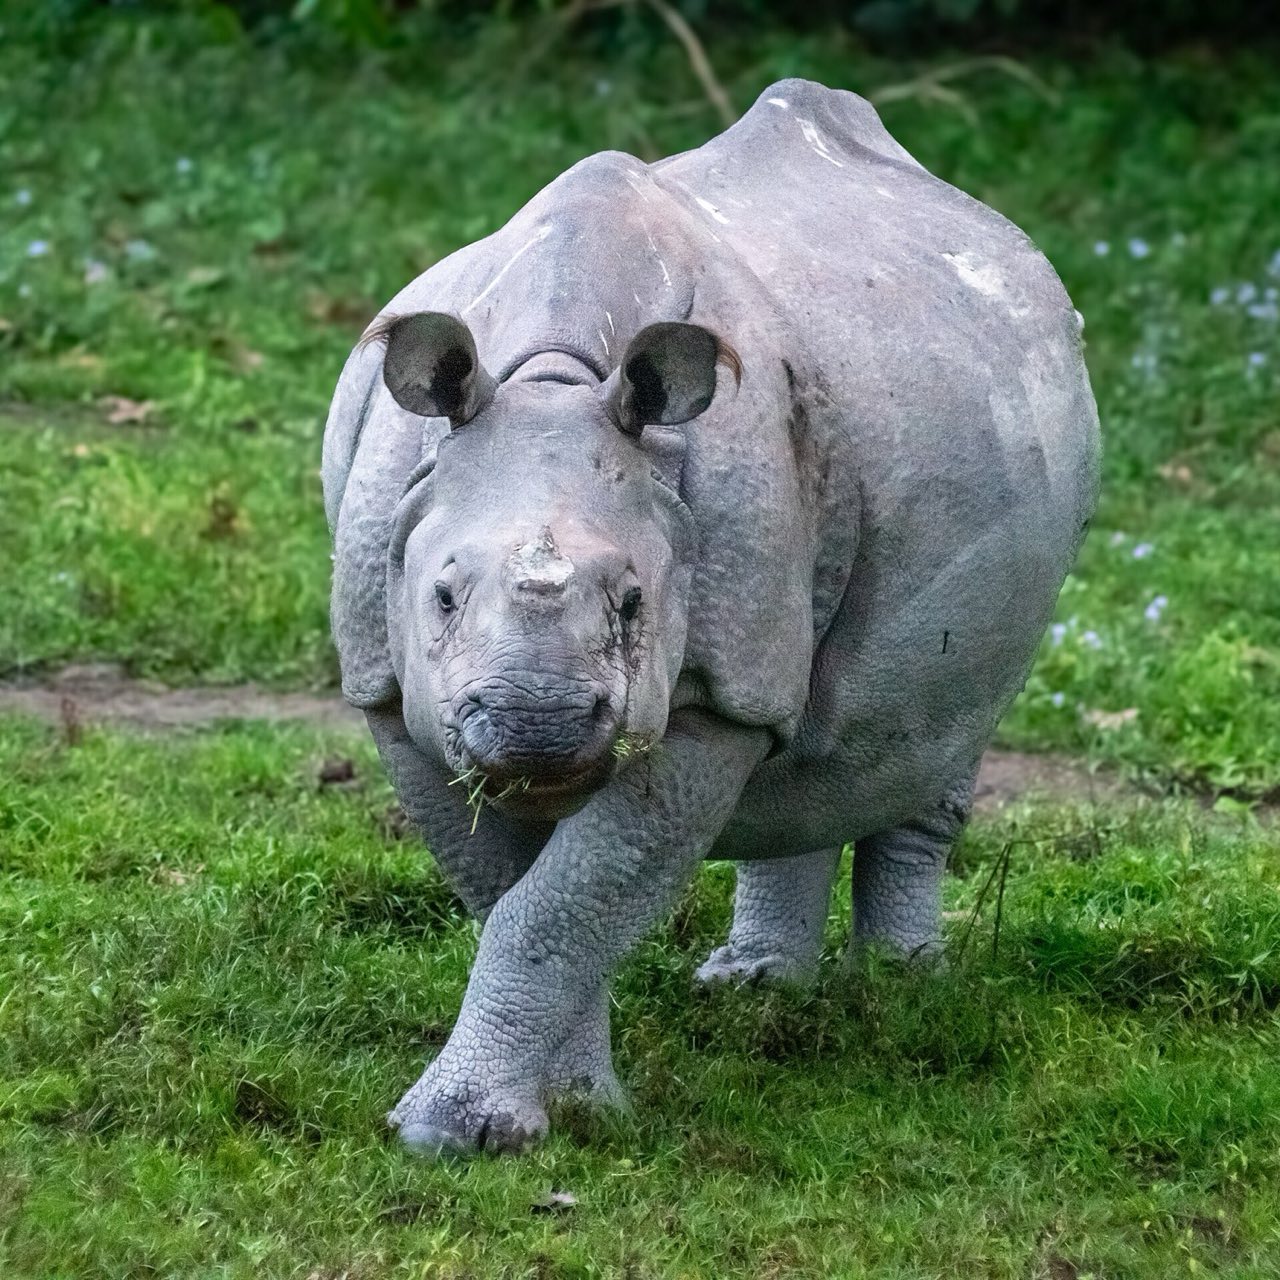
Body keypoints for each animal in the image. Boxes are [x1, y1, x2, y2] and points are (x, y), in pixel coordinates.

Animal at [322, 78, 1100, 1155]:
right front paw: (567, 1107)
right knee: (821, 740)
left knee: (940, 722)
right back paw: (755, 991)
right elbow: (521, 900)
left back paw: (903, 994)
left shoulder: (710, 697)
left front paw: (467, 1130)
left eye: (634, 602)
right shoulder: (392, 689)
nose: (537, 723)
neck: (552, 376)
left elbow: (558, 910)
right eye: (439, 595)